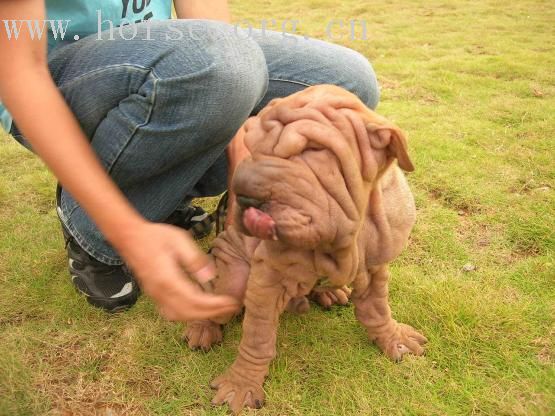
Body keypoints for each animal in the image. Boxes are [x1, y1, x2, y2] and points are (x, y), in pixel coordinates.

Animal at [182, 83, 426, 412]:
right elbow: (257, 337)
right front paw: (242, 384)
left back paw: (329, 292)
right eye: (251, 145)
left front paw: (394, 337)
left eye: (312, 150)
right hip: (232, 277)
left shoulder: (376, 267)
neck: (347, 234)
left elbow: (377, 309)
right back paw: (201, 328)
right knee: (213, 296)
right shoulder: (266, 279)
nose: (243, 195)